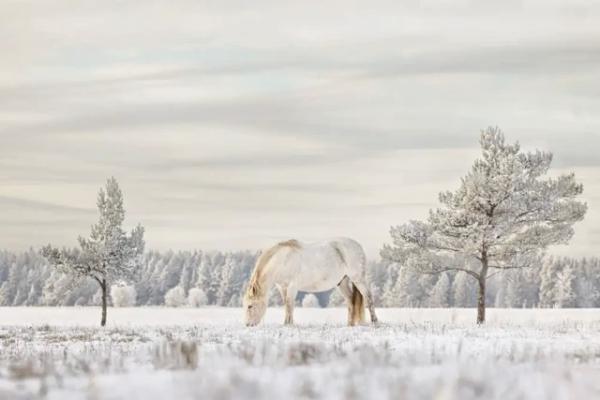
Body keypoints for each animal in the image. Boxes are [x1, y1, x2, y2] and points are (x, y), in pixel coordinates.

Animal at [241, 238, 378, 324]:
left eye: (250, 306)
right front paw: (288, 323)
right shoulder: (282, 287)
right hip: (342, 282)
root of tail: (358, 246)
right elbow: (287, 305)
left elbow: (290, 305)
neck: (282, 260)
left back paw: (374, 322)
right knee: (351, 301)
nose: (248, 324)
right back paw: (349, 325)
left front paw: (288, 324)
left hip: (358, 279)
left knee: (368, 297)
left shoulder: (292, 286)